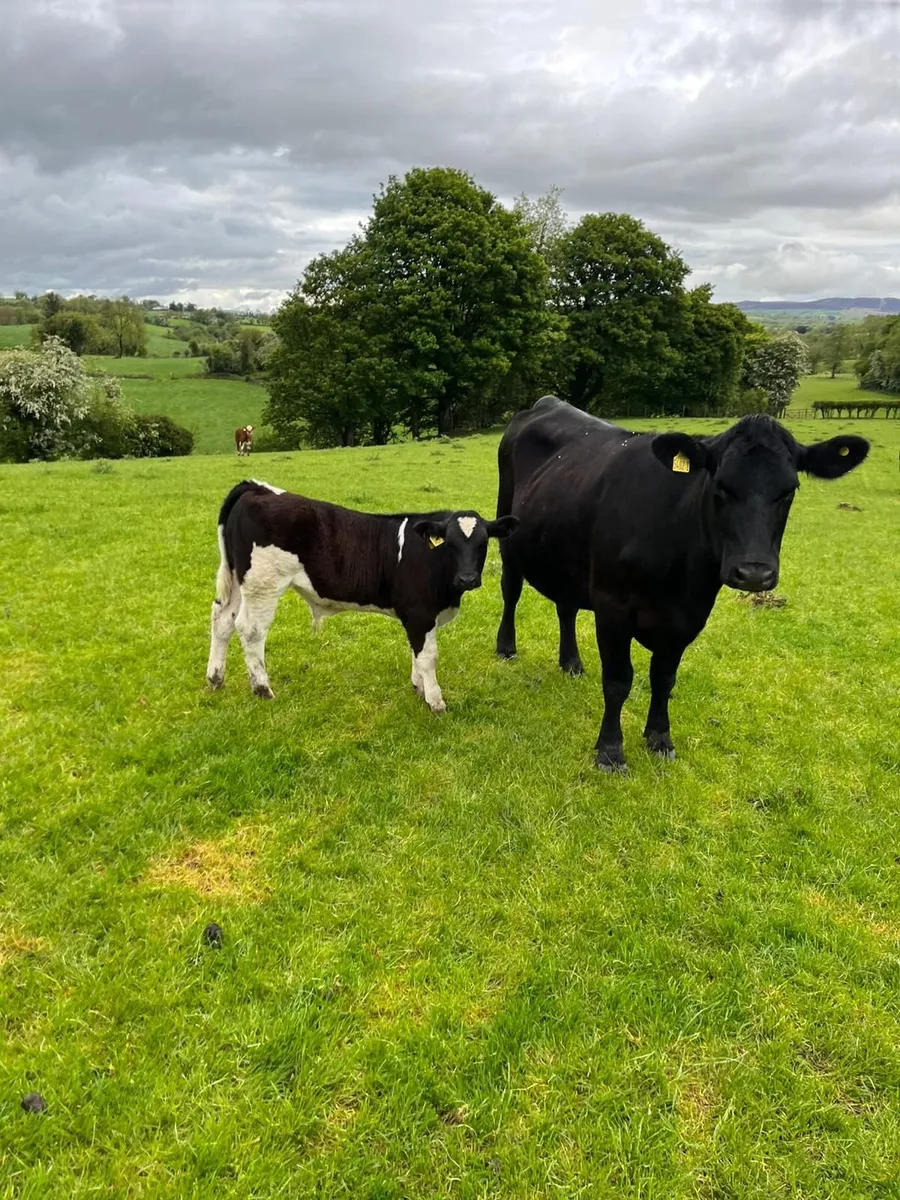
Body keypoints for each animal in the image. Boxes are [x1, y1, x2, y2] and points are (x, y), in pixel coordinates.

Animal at [206, 479, 518, 710]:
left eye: (483, 543)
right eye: (450, 543)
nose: (468, 578)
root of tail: (256, 487)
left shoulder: (415, 617)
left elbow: (416, 652)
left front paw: (418, 687)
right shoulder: (420, 613)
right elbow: (428, 655)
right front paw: (435, 700)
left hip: (238, 581)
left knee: (222, 620)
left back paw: (215, 679)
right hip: (263, 584)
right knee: (251, 630)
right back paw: (262, 689)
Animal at [494, 396, 869, 772]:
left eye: (789, 491)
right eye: (720, 487)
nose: (753, 573)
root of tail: (546, 403)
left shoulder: (689, 615)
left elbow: (664, 679)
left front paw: (660, 738)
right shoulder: (612, 606)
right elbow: (618, 680)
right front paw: (611, 750)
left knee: (566, 606)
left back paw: (571, 662)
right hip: (507, 534)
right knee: (511, 592)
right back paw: (506, 647)